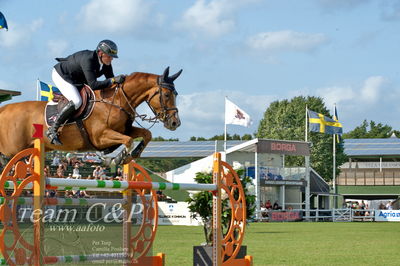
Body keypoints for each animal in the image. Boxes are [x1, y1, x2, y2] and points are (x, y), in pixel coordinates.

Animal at [0, 66, 182, 165]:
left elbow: (146, 134)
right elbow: (128, 140)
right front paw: (116, 160)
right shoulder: (100, 136)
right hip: (12, 150)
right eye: (167, 95)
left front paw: (131, 156)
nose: (175, 123)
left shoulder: (124, 129)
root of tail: (4, 109)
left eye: (176, 94)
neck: (117, 100)